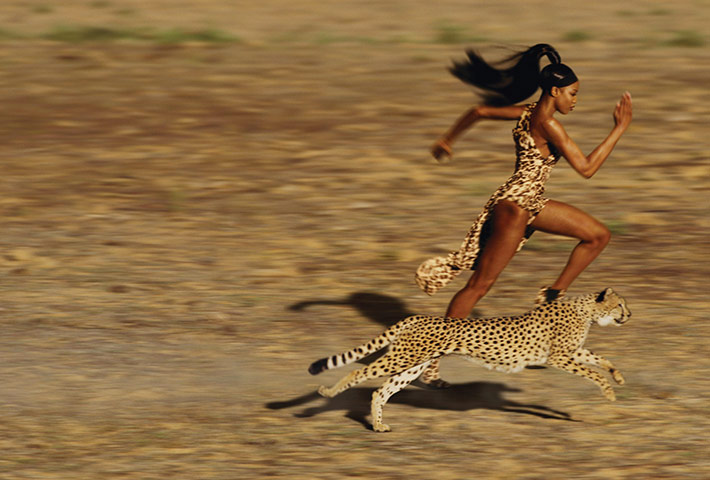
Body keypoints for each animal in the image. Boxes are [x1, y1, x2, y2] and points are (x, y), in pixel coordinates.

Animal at [308, 287, 630, 432]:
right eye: (620, 305)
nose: (629, 315)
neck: (585, 309)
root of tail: (417, 316)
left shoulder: (572, 353)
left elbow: (601, 359)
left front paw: (618, 377)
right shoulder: (559, 357)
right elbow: (593, 372)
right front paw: (609, 392)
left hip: (412, 366)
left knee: (380, 391)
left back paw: (377, 425)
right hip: (403, 358)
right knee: (358, 375)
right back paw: (327, 394)